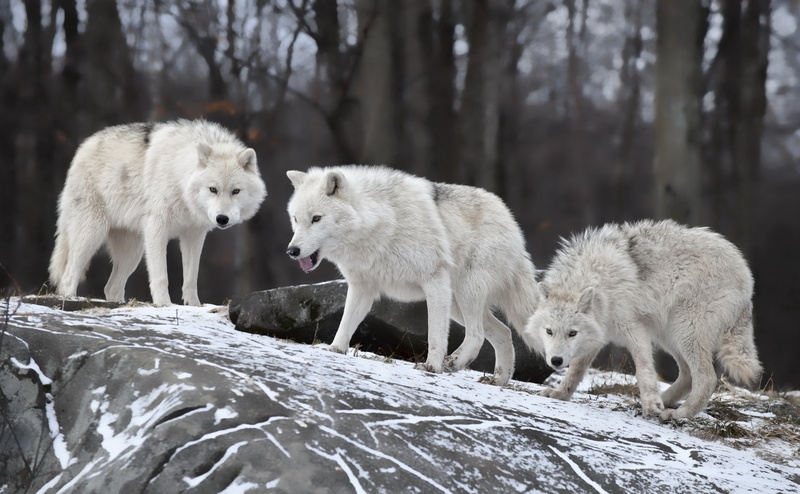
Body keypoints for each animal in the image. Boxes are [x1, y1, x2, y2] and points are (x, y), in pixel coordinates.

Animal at [49, 119, 267, 306]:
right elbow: (161, 276)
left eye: (236, 191)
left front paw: (194, 305)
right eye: (213, 189)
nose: (222, 219)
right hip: (92, 235)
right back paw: (70, 298)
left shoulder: (194, 235)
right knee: (68, 277)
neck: (180, 177)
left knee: (111, 287)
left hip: (132, 252)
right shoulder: (157, 228)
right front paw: (164, 304)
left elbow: (191, 278)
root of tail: (83, 146)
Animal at [285, 166, 541, 385]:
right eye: (296, 219)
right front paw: (335, 350)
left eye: (316, 218)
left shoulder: (434, 280)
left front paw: (432, 367)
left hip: (465, 292)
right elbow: (346, 323)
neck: (380, 223)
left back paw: (454, 362)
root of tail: (509, 218)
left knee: (477, 334)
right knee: (504, 332)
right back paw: (499, 380)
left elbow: (436, 334)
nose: (292, 251)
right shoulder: (362, 287)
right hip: (456, 303)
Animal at [524, 219, 762, 420]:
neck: (599, 280)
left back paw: (678, 414)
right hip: (669, 335)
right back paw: (663, 402)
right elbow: (576, 370)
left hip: (684, 332)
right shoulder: (598, 334)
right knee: (687, 376)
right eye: (549, 331)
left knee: (707, 379)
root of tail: (747, 275)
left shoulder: (634, 329)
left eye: (572, 333)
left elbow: (644, 369)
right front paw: (560, 394)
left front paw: (651, 404)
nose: (556, 361)